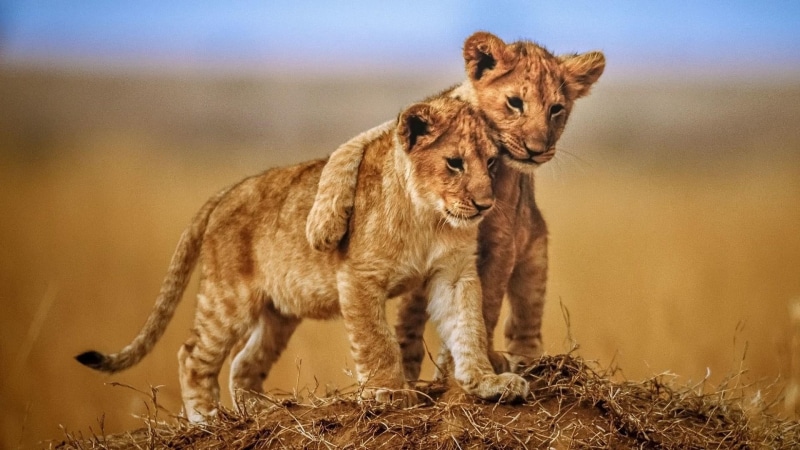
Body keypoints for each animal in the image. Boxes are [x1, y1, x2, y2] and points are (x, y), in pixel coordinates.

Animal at [75, 96, 529, 423]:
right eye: (454, 163)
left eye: (491, 162)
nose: (485, 204)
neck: (428, 217)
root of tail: (227, 191)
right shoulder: (358, 276)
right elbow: (377, 341)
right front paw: (389, 392)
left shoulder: (453, 274)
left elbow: (468, 326)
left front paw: (487, 381)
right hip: (228, 299)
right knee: (192, 356)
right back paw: (206, 420)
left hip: (279, 312)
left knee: (243, 363)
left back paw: (262, 412)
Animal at [306, 32, 605, 379]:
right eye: (515, 103)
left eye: (557, 109)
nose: (536, 150)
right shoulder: (400, 129)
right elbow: (347, 150)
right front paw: (323, 226)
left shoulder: (502, 242)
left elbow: (486, 305)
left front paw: (473, 363)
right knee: (409, 317)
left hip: (534, 254)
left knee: (524, 320)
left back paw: (526, 362)